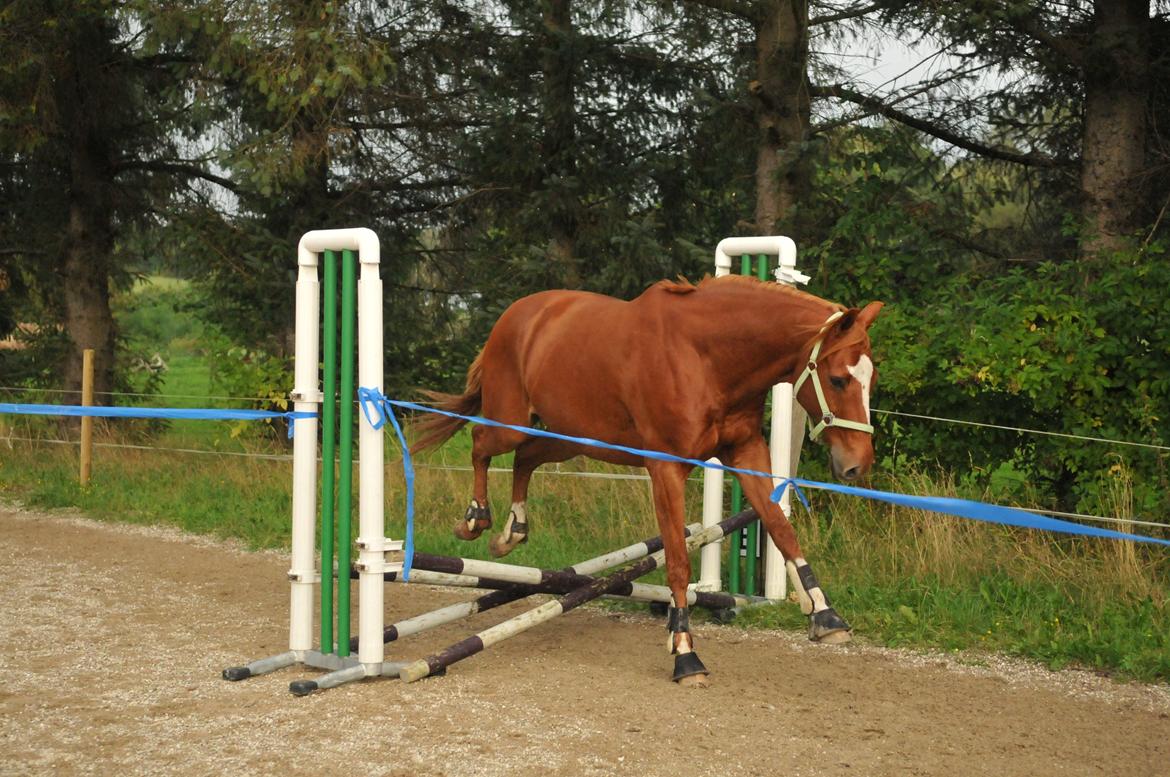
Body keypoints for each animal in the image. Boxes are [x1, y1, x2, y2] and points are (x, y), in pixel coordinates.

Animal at [411, 274, 879, 688]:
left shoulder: (746, 454)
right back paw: (475, 520)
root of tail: (516, 316)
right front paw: (686, 654)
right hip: (512, 421)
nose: (857, 466)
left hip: (571, 438)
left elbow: (781, 528)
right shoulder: (666, 468)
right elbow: (678, 563)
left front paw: (825, 615)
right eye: (838, 379)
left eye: (870, 378)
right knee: (481, 443)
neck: (707, 358)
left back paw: (512, 531)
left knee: (525, 458)